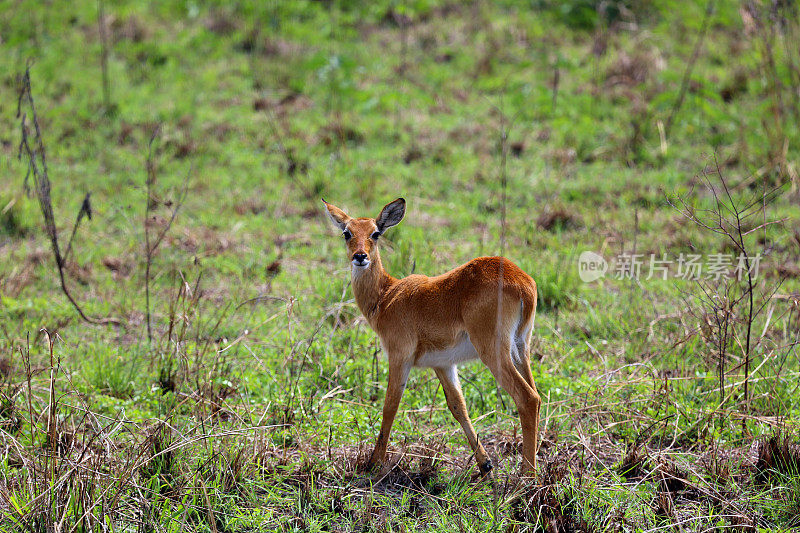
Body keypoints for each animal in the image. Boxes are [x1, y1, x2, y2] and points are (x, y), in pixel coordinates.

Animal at [322, 196, 540, 474]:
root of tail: (522, 282)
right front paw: (485, 464)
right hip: (521, 348)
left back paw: (526, 476)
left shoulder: (399, 356)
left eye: (375, 233)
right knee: (536, 396)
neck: (386, 296)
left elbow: (390, 405)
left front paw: (373, 463)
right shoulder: (443, 364)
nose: (360, 257)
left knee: (527, 398)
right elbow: (458, 406)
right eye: (347, 233)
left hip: (493, 351)